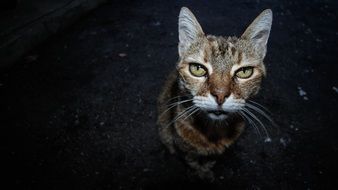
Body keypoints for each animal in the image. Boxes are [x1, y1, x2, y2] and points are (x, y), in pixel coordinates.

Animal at [156, 6, 272, 180]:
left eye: (245, 72)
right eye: (197, 69)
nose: (220, 95)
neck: (213, 132)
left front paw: (208, 166)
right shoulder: (184, 148)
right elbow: (192, 160)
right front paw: (200, 171)